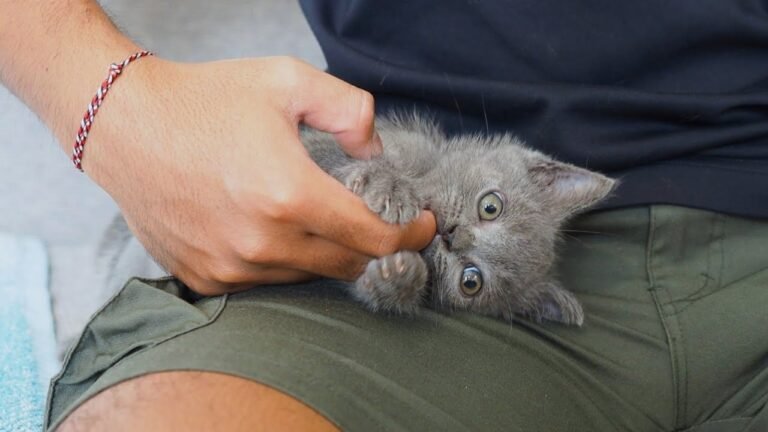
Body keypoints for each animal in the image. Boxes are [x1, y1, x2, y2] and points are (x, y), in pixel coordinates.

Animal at [304, 116, 616, 326]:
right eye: (491, 206)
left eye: (471, 281)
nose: (451, 235)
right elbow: (329, 150)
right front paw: (388, 183)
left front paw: (399, 279)